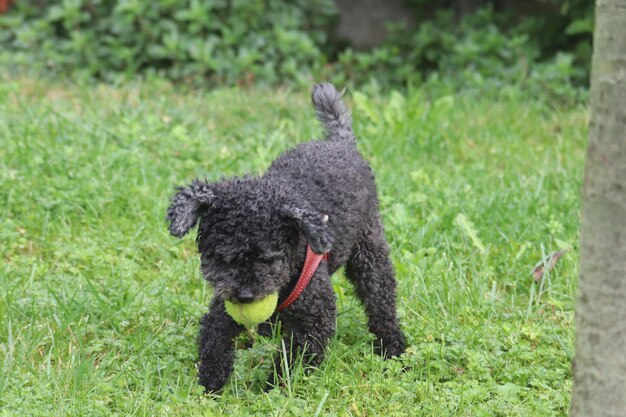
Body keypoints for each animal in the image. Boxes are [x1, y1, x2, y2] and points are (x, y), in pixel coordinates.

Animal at [166, 83, 404, 392]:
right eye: (220, 258)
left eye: (269, 258)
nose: (245, 296)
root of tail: (342, 143)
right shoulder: (224, 302)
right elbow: (214, 336)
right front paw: (211, 382)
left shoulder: (315, 317)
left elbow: (294, 360)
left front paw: (272, 390)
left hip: (369, 249)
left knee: (380, 297)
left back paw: (393, 345)